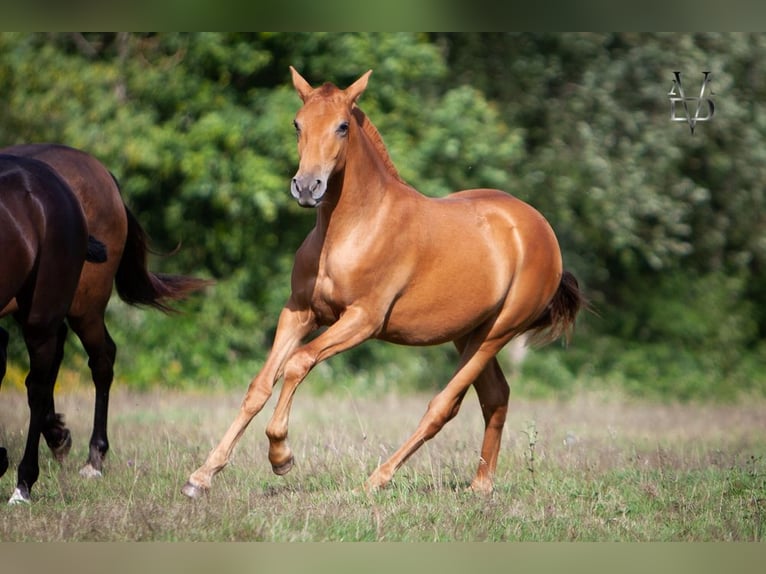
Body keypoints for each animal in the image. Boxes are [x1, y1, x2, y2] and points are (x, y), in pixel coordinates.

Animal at [183, 68, 584, 500]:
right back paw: (480, 486)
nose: (306, 188)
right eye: (297, 124)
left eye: (342, 126)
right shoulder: (300, 312)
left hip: (497, 332)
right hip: (469, 332)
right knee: (496, 397)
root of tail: (538, 228)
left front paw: (281, 456)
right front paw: (202, 476)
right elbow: (259, 385)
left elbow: (298, 363)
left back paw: (375, 480)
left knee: (443, 406)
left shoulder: (363, 320)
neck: (352, 229)